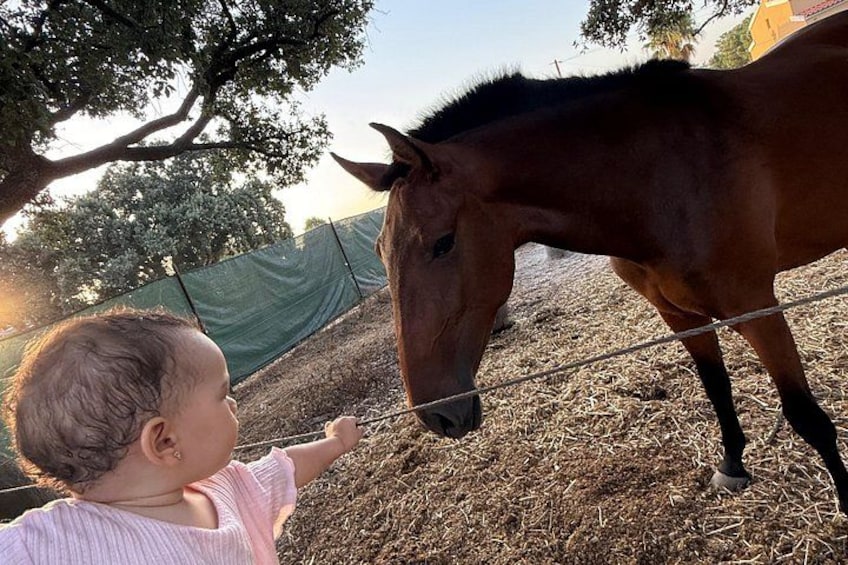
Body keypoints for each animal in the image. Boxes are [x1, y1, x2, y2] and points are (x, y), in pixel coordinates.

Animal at [332, 11, 848, 512]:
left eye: (442, 243)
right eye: (380, 252)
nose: (437, 414)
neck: (658, 177)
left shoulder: (757, 308)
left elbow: (807, 416)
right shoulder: (679, 316)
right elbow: (716, 387)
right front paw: (733, 465)